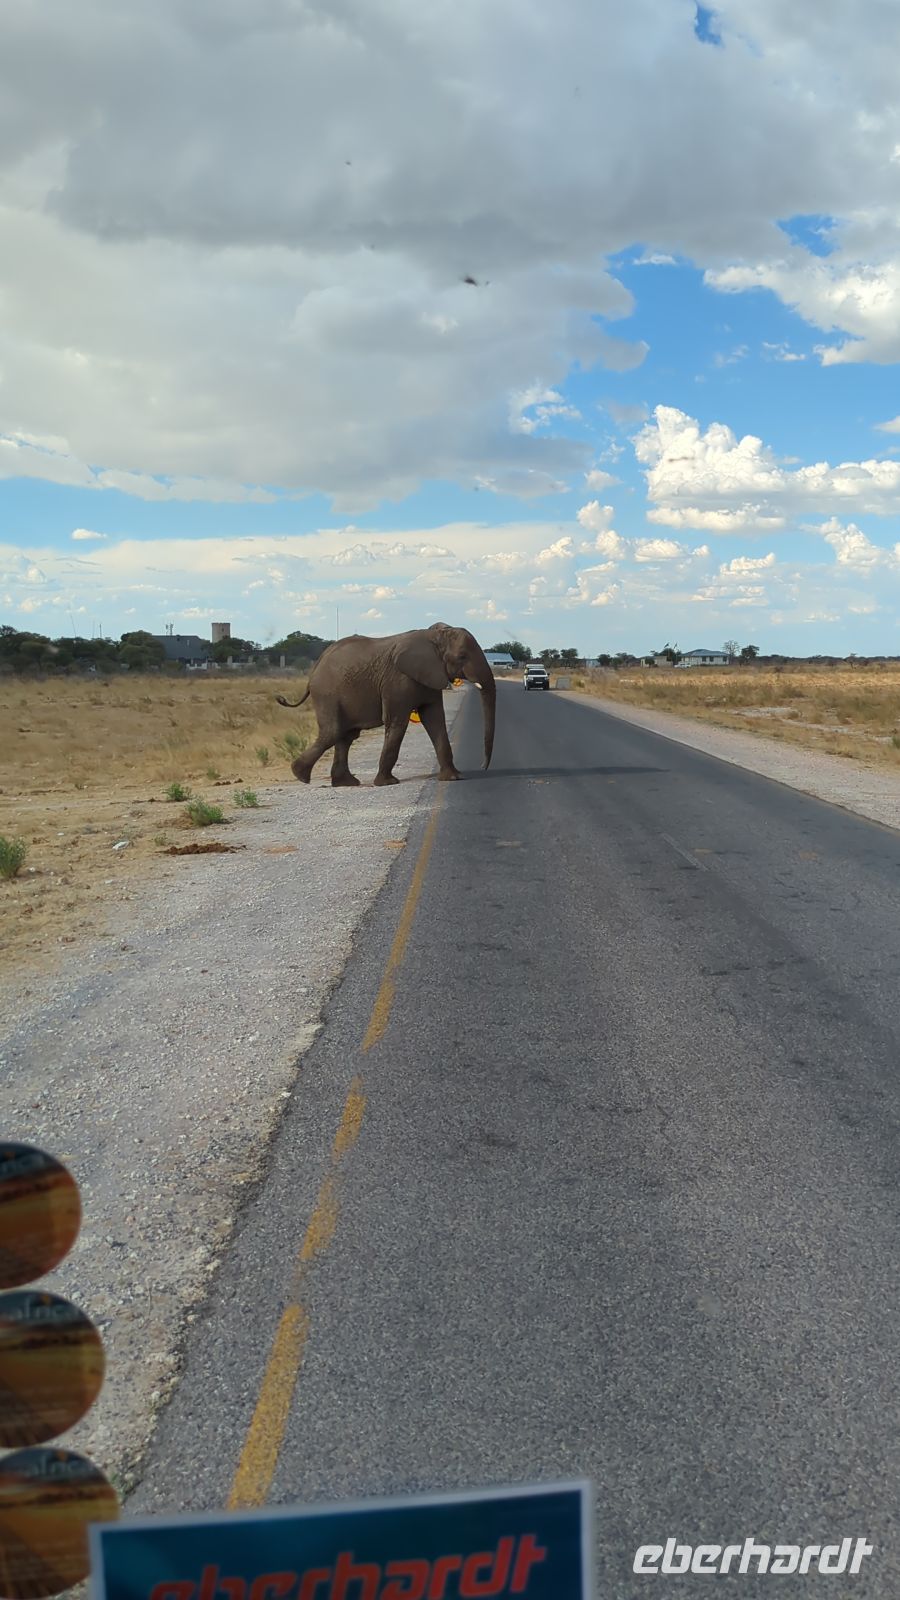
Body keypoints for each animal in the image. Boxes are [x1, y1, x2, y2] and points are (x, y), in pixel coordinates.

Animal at [275, 622, 496, 787]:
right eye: (462, 656)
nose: (483, 766)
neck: (434, 636)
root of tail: (314, 670)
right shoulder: (398, 680)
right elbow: (397, 722)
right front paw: (387, 783)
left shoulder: (430, 677)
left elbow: (435, 721)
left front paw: (454, 778)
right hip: (327, 694)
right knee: (333, 732)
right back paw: (301, 775)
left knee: (345, 736)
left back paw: (344, 783)